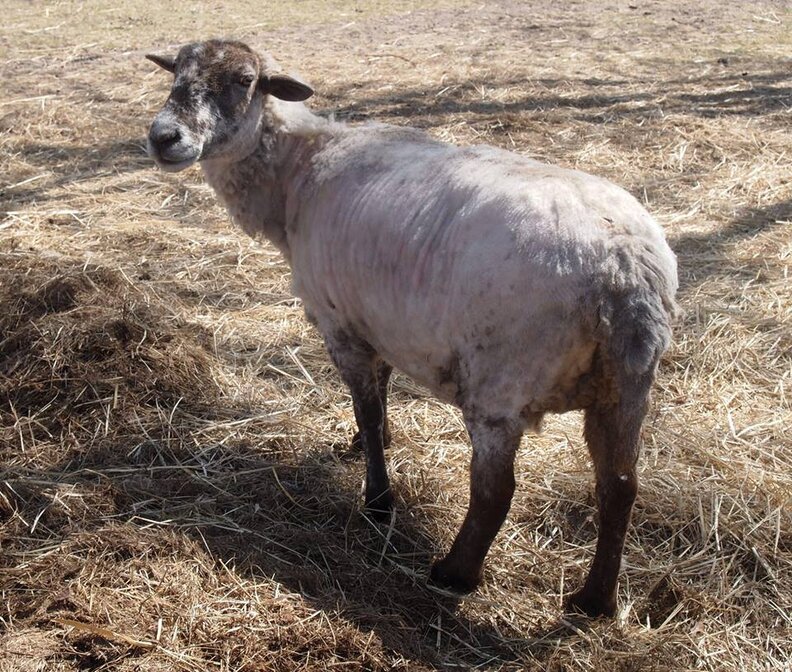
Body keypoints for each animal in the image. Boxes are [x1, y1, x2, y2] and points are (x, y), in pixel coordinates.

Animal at [145, 39, 678, 618]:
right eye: (176, 72)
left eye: (244, 80)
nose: (162, 137)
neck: (298, 174)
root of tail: (625, 271)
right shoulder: (376, 320)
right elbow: (379, 395)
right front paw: (365, 444)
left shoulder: (341, 325)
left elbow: (368, 405)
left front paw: (378, 499)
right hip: (625, 386)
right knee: (619, 485)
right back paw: (595, 600)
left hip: (500, 380)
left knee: (496, 491)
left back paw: (454, 573)